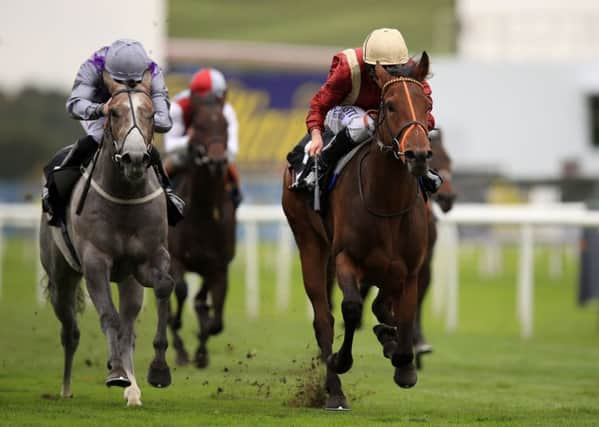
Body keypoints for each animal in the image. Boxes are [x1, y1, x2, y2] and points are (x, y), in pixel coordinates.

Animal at [39, 71, 173, 408]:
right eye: (113, 113)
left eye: (151, 114)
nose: (134, 158)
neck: (125, 197)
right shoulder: (95, 263)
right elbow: (108, 318)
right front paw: (115, 373)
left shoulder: (148, 260)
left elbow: (163, 287)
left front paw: (158, 370)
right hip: (61, 279)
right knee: (70, 331)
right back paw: (66, 388)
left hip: (128, 282)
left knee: (128, 326)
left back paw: (133, 390)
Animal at [284, 55, 434, 410]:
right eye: (390, 106)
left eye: (426, 105)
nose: (418, 155)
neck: (387, 201)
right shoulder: (346, 258)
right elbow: (351, 309)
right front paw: (342, 360)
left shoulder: (408, 268)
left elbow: (402, 313)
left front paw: (402, 361)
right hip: (309, 242)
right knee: (323, 319)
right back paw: (335, 391)